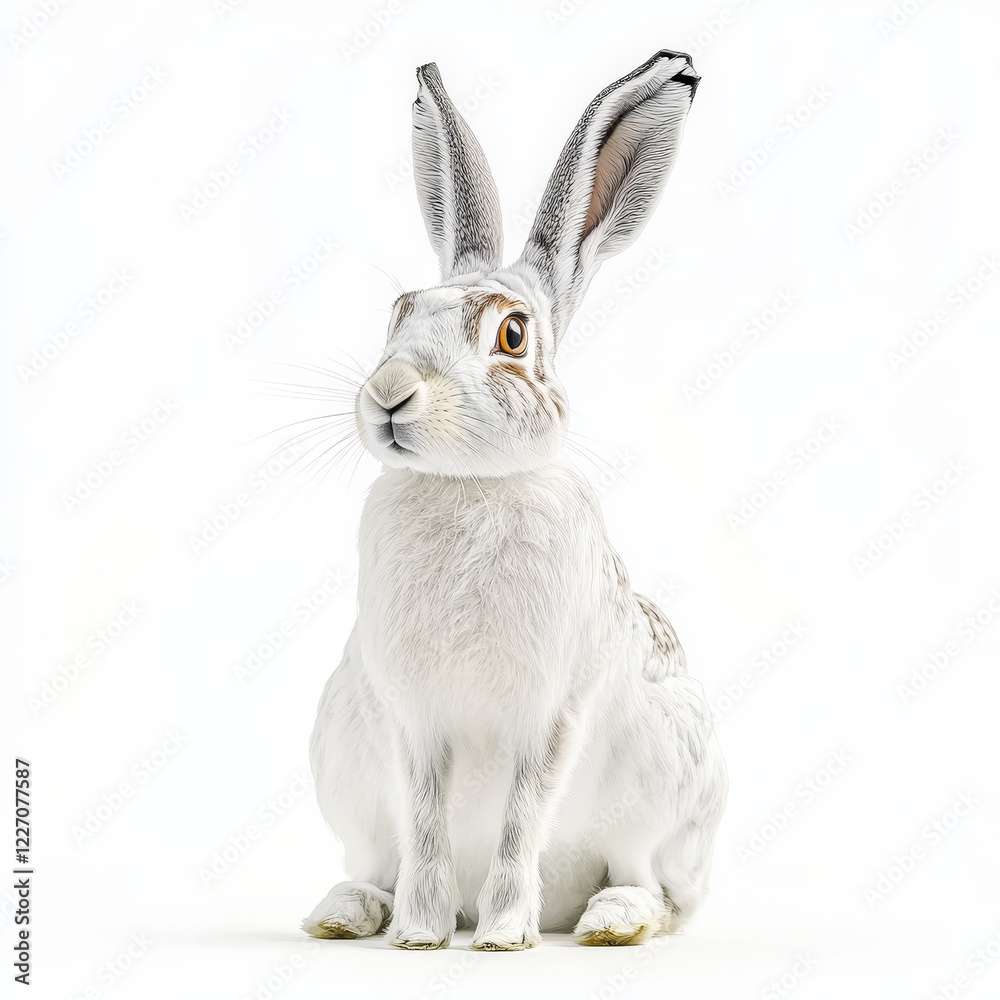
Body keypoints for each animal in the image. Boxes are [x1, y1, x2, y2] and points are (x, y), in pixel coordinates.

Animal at [303, 49, 727, 951]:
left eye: (511, 334)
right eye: (395, 317)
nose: (390, 392)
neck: (471, 486)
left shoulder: (552, 710)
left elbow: (522, 816)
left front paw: (500, 936)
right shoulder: (412, 717)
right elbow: (426, 821)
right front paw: (422, 936)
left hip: (668, 774)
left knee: (657, 887)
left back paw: (608, 920)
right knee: (375, 856)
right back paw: (348, 911)